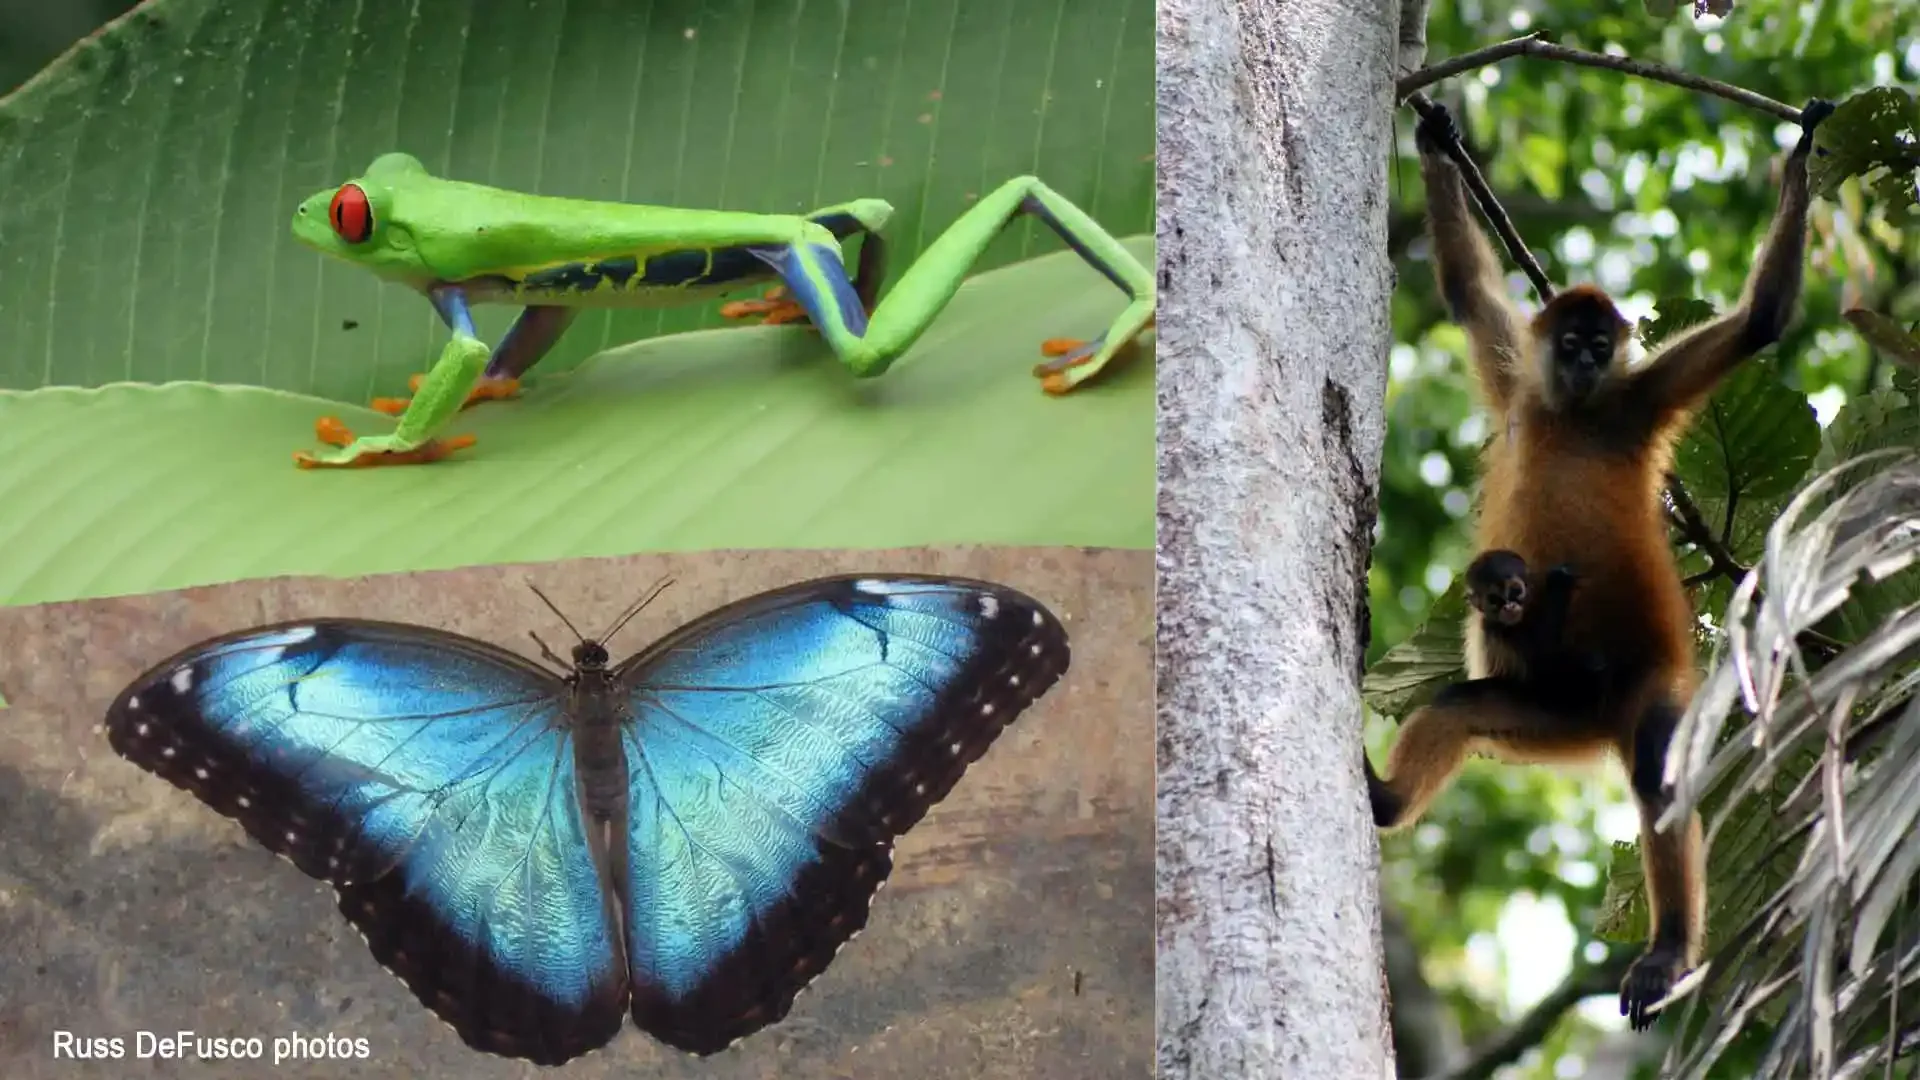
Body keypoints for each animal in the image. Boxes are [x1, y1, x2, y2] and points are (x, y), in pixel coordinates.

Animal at [1366, 96, 1835, 1031]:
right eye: (1570, 344)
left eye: (1597, 346)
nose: (1584, 361)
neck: (1576, 413)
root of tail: (1600, 714)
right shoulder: (1523, 384)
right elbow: (1467, 292)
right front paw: (1437, 139)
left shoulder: (1635, 396)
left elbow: (1762, 321)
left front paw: (1801, 152)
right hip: (1548, 712)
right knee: (1456, 707)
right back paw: (1387, 803)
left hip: (1645, 686)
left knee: (1658, 772)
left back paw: (1667, 954)